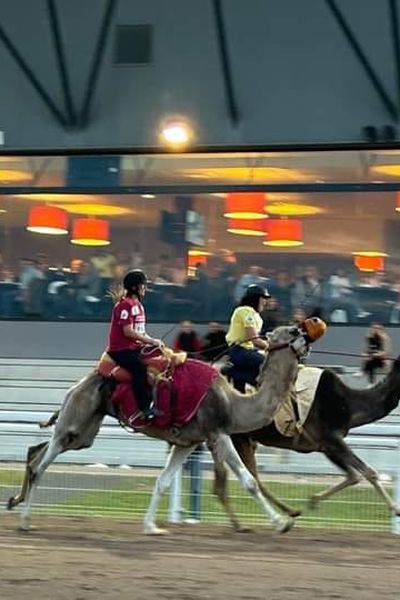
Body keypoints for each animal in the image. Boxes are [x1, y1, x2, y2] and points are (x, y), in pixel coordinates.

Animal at [6, 318, 318, 536]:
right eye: (292, 331)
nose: (309, 331)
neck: (233, 402)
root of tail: (80, 383)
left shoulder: (189, 441)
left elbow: (162, 482)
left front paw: (151, 526)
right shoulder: (217, 433)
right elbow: (249, 481)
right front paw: (282, 523)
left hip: (86, 429)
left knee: (39, 451)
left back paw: (14, 502)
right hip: (77, 416)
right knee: (41, 464)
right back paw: (25, 522)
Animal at [214, 356, 400, 528]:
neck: (348, 405)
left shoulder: (326, 446)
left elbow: (352, 476)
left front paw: (313, 499)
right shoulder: (331, 439)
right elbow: (368, 472)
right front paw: (396, 509)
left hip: (244, 439)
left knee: (244, 476)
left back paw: (288, 512)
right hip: (235, 436)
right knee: (240, 477)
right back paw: (244, 523)